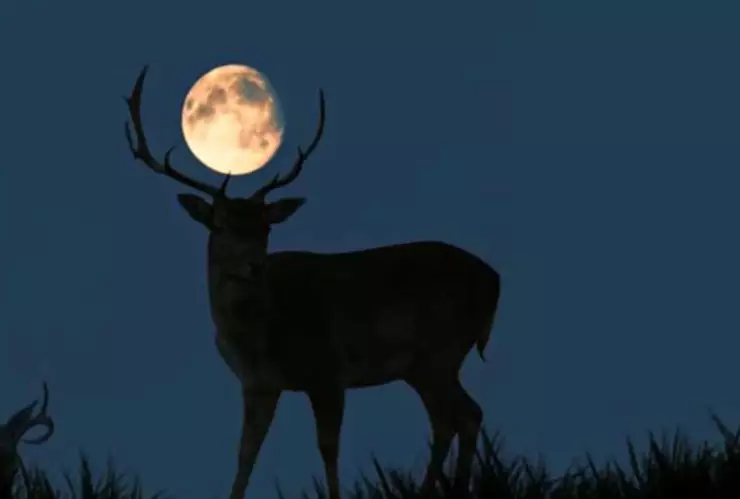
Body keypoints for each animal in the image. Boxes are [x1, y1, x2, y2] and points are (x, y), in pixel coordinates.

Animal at [123, 66, 501, 499]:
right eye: (218, 225)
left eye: (266, 227)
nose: (254, 265)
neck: (261, 334)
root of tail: (495, 281)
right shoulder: (258, 384)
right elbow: (245, 455)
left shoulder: (328, 370)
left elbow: (328, 448)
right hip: (425, 364)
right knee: (461, 416)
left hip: (440, 350)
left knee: (456, 417)